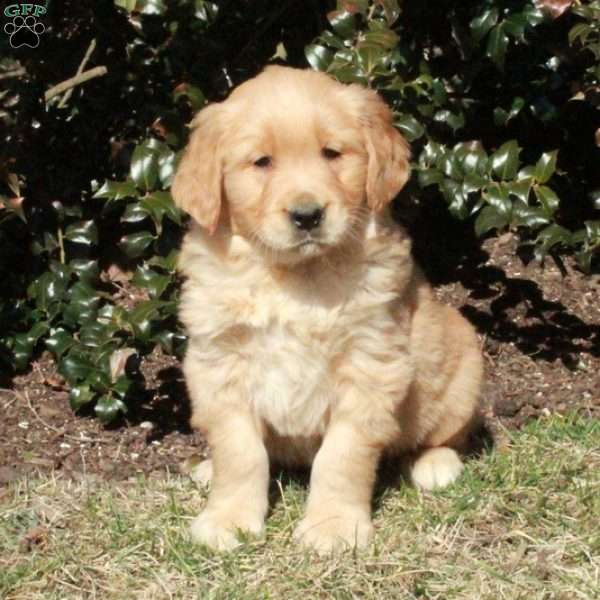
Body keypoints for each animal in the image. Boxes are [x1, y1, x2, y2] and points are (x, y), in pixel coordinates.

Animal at [171, 64, 480, 552]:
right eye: (262, 162)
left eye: (332, 153)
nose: (307, 215)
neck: (296, 276)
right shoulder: (219, 364)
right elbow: (240, 452)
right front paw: (227, 518)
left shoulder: (370, 363)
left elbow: (341, 455)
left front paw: (333, 526)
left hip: (462, 365)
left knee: (449, 434)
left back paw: (436, 464)